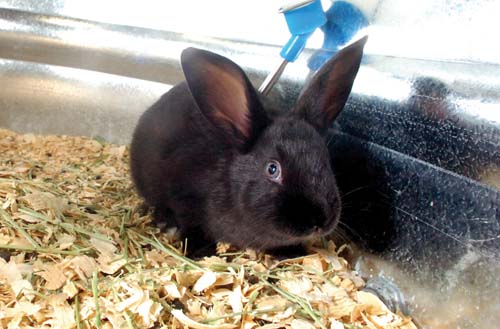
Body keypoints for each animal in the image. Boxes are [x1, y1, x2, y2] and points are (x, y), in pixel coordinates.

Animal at [129, 36, 368, 256]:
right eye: (272, 168)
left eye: (326, 160)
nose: (319, 221)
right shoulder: (184, 198)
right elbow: (191, 226)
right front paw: (201, 252)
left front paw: (295, 252)